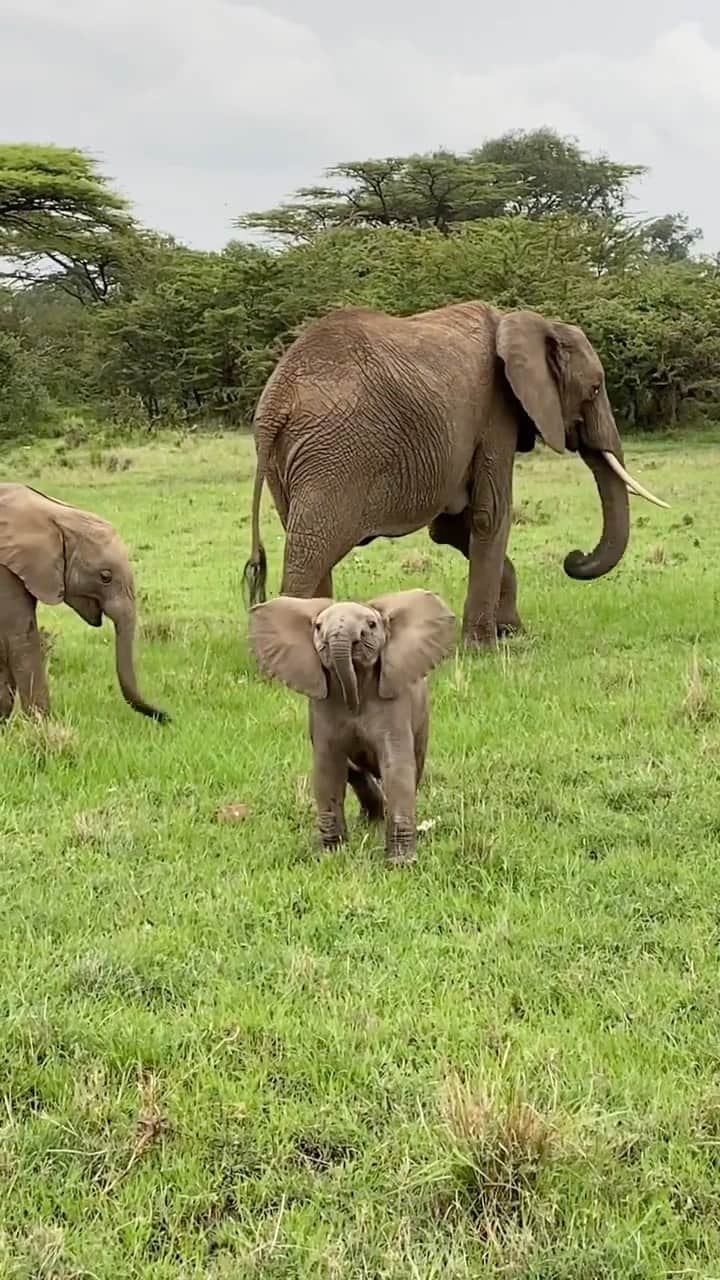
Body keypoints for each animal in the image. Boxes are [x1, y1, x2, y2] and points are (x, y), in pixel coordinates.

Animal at [0, 481, 167, 721]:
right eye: (105, 577)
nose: (167, 717)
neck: (55, 514)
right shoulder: (5, 572)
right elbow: (20, 637)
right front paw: (42, 724)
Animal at [242, 295, 666, 645]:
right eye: (594, 389)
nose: (573, 558)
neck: (523, 321)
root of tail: (277, 399)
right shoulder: (496, 412)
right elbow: (490, 515)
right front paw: (484, 648)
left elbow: (452, 527)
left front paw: (512, 633)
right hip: (335, 456)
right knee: (311, 550)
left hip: (293, 461)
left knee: (310, 544)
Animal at [245, 586, 453, 865]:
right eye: (318, 627)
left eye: (372, 625)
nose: (353, 707)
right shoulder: (323, 703)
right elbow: (328, 768)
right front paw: (331, 855)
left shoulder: (395, 703)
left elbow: (397, 767)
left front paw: (400, 864)